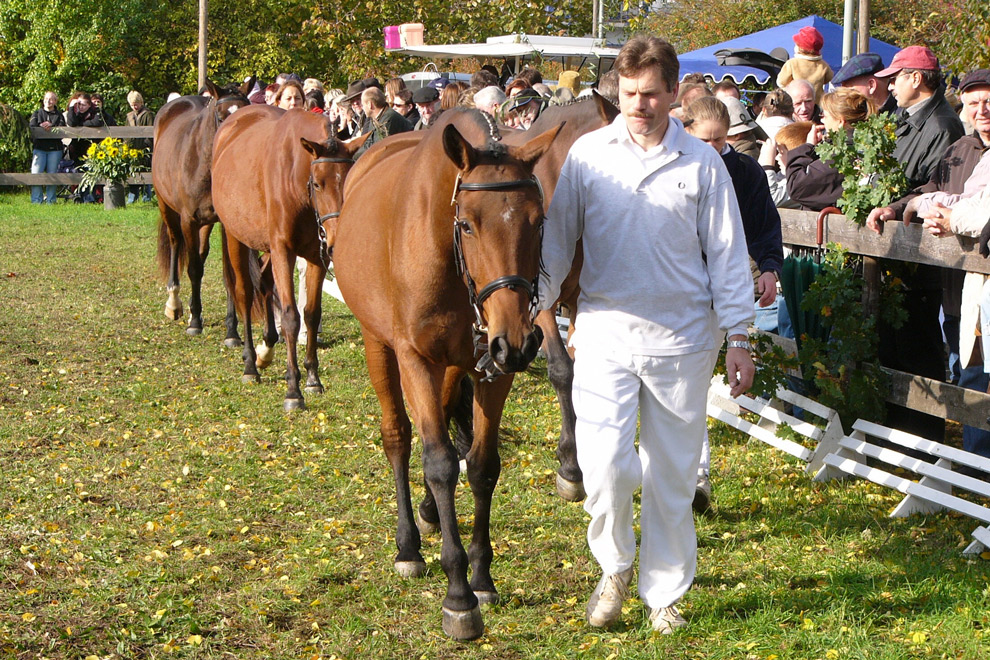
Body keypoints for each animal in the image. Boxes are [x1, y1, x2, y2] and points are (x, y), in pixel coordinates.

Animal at [152, 76, 252, 342]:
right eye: (220, 115)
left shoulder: (227, 225)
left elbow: (229, 275)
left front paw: (232, 332)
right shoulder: (188, 219)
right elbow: (194, 268)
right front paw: (195, 322)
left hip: (205, 223)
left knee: (200, 251)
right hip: (167, 207)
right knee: (177, 244)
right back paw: (175, 303)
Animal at [212, 105, 368, 410]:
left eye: (348, 180)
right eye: (317, 184)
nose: (336, 244)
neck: (295, 175)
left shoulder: (315, 256)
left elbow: (311, 315)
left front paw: (313, 379)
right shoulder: (283, 250)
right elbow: (291, 317)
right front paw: (293, 390)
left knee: (264, 282)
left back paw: (266, 348)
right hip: (236, 237)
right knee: (245, 293)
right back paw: (250, 364)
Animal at [334, 111, 560, 640]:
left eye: (538, 221)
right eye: (467, 224)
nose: (519, 340)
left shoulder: (491, 369)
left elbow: (481, 465)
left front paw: (481, 576)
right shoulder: (416, 358)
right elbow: (437, 461)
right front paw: (458, 595)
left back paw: (430, 513)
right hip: (379, 344)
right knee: (398, 435)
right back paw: (409, 545)